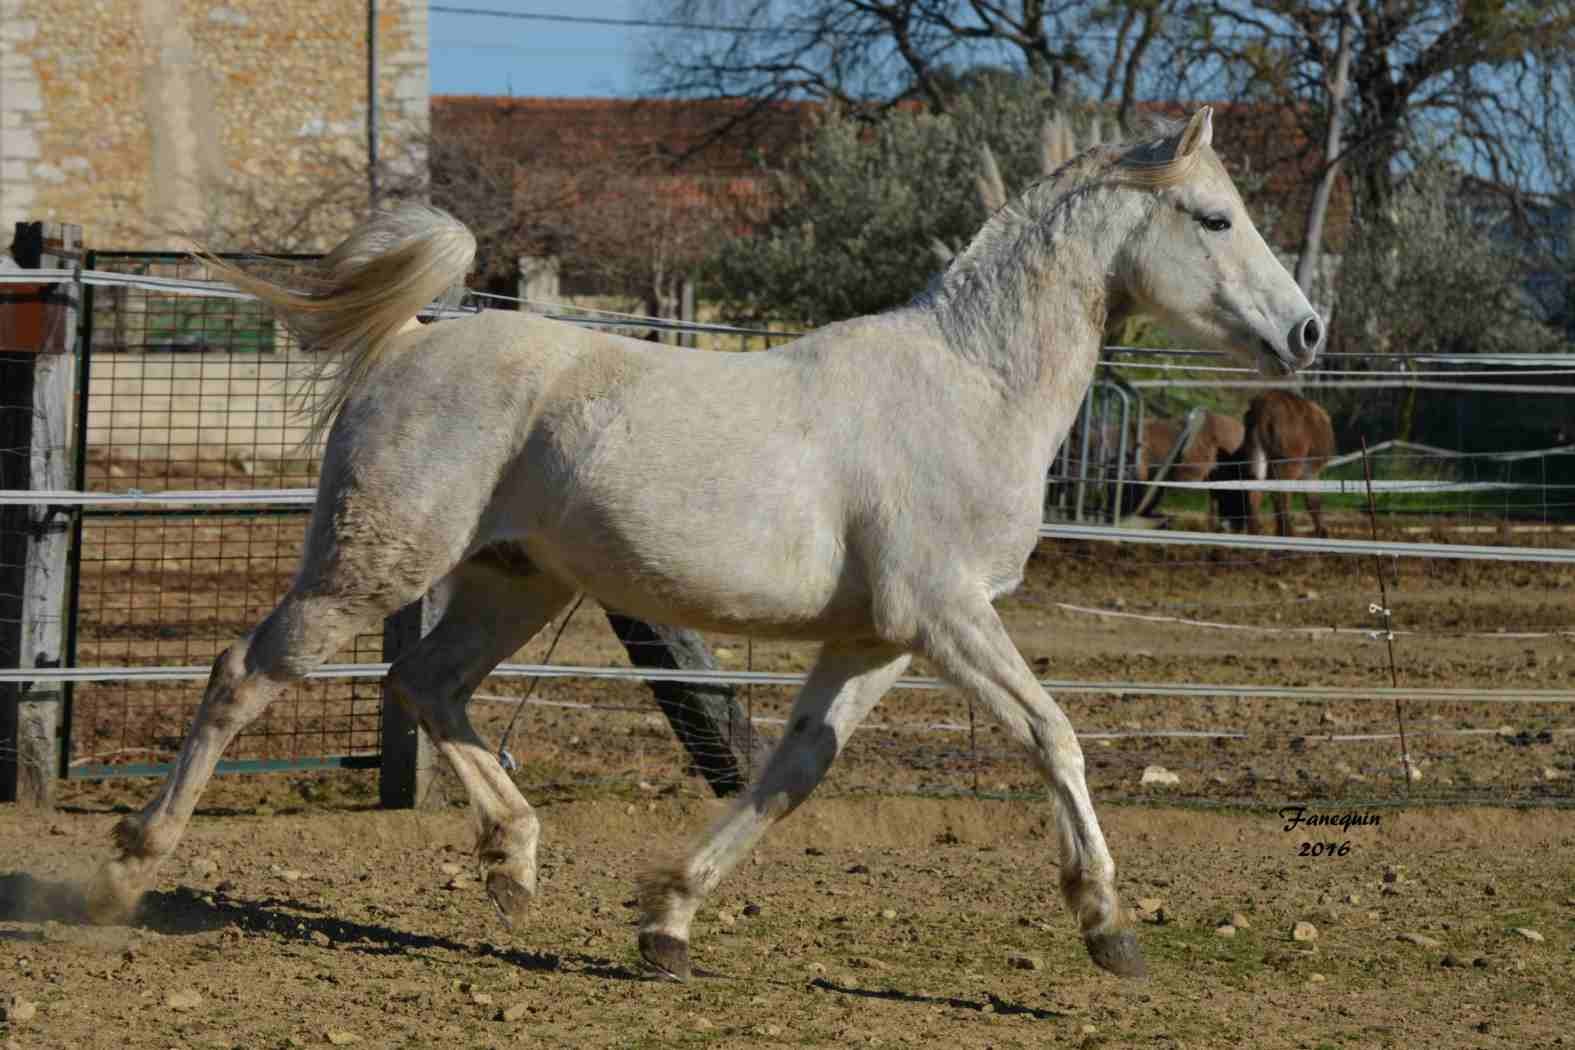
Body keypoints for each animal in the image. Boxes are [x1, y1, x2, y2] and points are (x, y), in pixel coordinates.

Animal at [86, 107, 1316, 988]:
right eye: (1214, 218)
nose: (1306, 332)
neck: (973, 390)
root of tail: (408, 340)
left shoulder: (876, 639)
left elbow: (791, 772)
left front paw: (667, 924)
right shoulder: (947, 613)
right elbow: (1053, 733)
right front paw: (1109, 927)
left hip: (511, 585)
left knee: (426, 684)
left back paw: (514, 865)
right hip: (370, 564)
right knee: (245, 673)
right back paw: (126, 871)